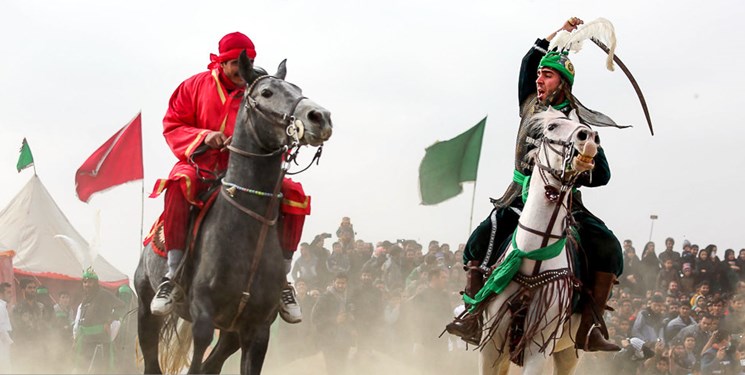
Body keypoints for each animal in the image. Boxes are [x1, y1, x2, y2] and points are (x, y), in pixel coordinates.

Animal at [134, 51, 332, 374]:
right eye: (267, 92)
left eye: (297, 90)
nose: (320, 117)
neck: (245, 230)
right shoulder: (203, 320)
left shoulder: (257, 329)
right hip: (146, 309)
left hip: (230, 334)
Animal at [476, 107, 604, 374]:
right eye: (552, 126)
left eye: (587, 127)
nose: (589, 139)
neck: (532, 258)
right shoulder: (489, 343)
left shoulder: (539, 347)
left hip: (569, 353)